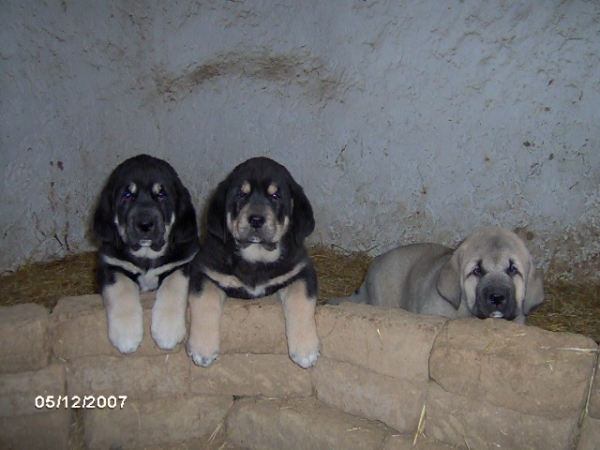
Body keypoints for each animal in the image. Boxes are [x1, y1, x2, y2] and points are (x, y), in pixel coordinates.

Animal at [92, 155, 199, 356]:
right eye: (127, 196)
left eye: (161, 195)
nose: (145, 224)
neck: (146, 256)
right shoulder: (110, 264)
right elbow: (121, 289)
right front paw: (126, 334)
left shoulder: (184, 262)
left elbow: (174, 284)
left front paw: (167, 329)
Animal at [189, 158, 322, 370]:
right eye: (241, 194)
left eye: (275, 195)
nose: (256, 219)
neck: (256, 257)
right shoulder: (203, 270)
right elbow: (204, 301)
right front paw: (203, 349)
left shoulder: (301, 271)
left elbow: (301, 302)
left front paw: (305, 349)